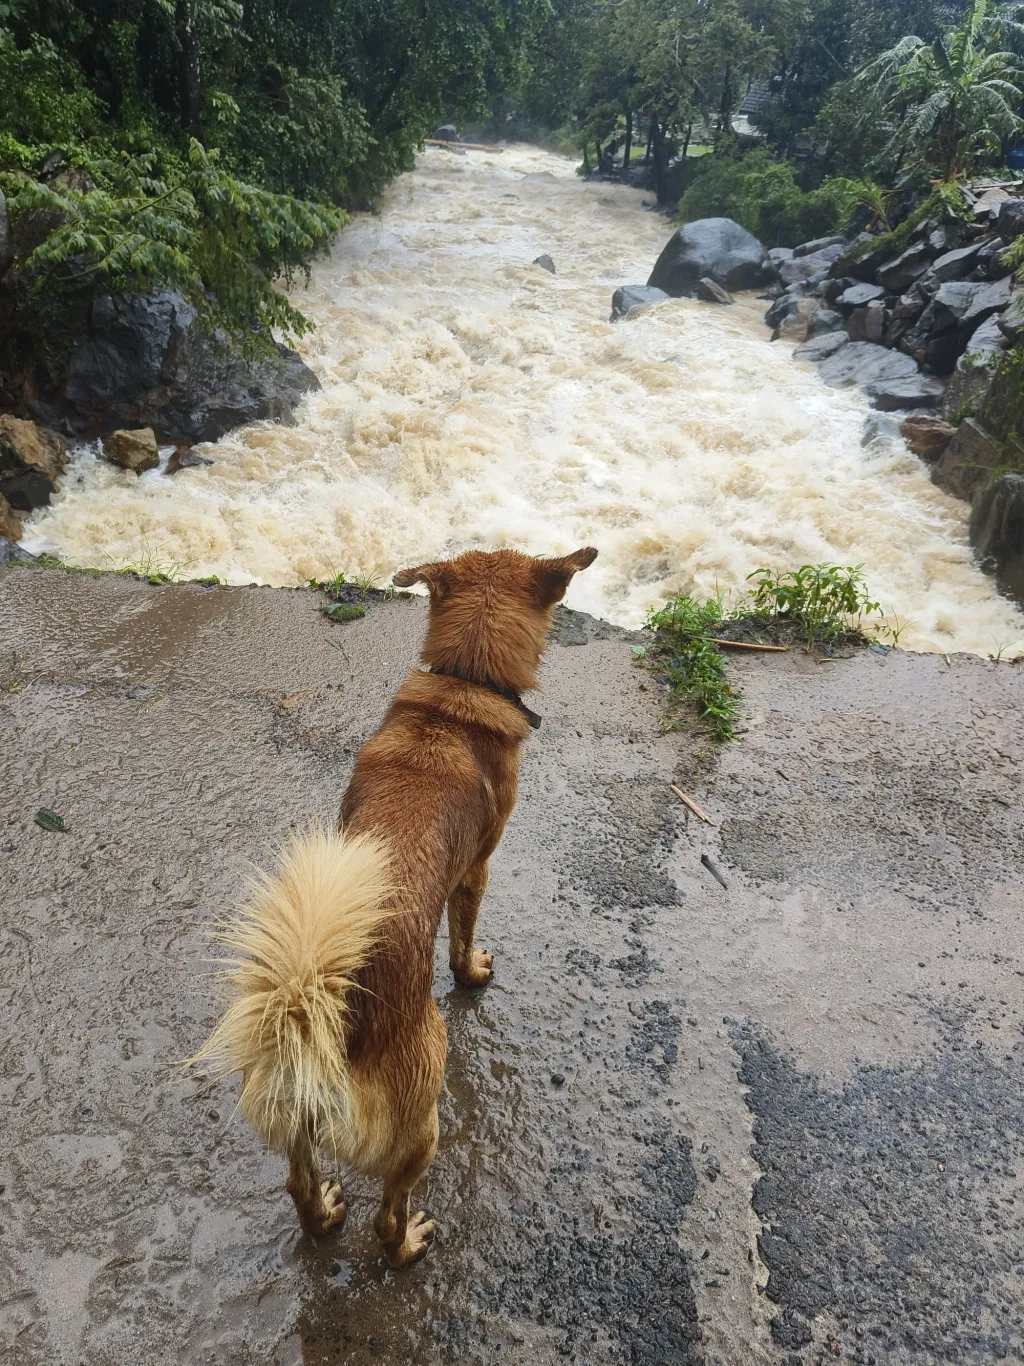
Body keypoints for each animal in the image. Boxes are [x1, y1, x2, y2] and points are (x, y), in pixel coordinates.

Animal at [195, 546, 598, 1267]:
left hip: (294, 1113)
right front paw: (471, 973)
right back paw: (408, 1244)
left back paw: (322, 1213)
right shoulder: (476, 872)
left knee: (298, 1182)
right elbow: (463, 939)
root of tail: (319, 1015)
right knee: (386, 1216)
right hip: (423, 1122)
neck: (461, 688)